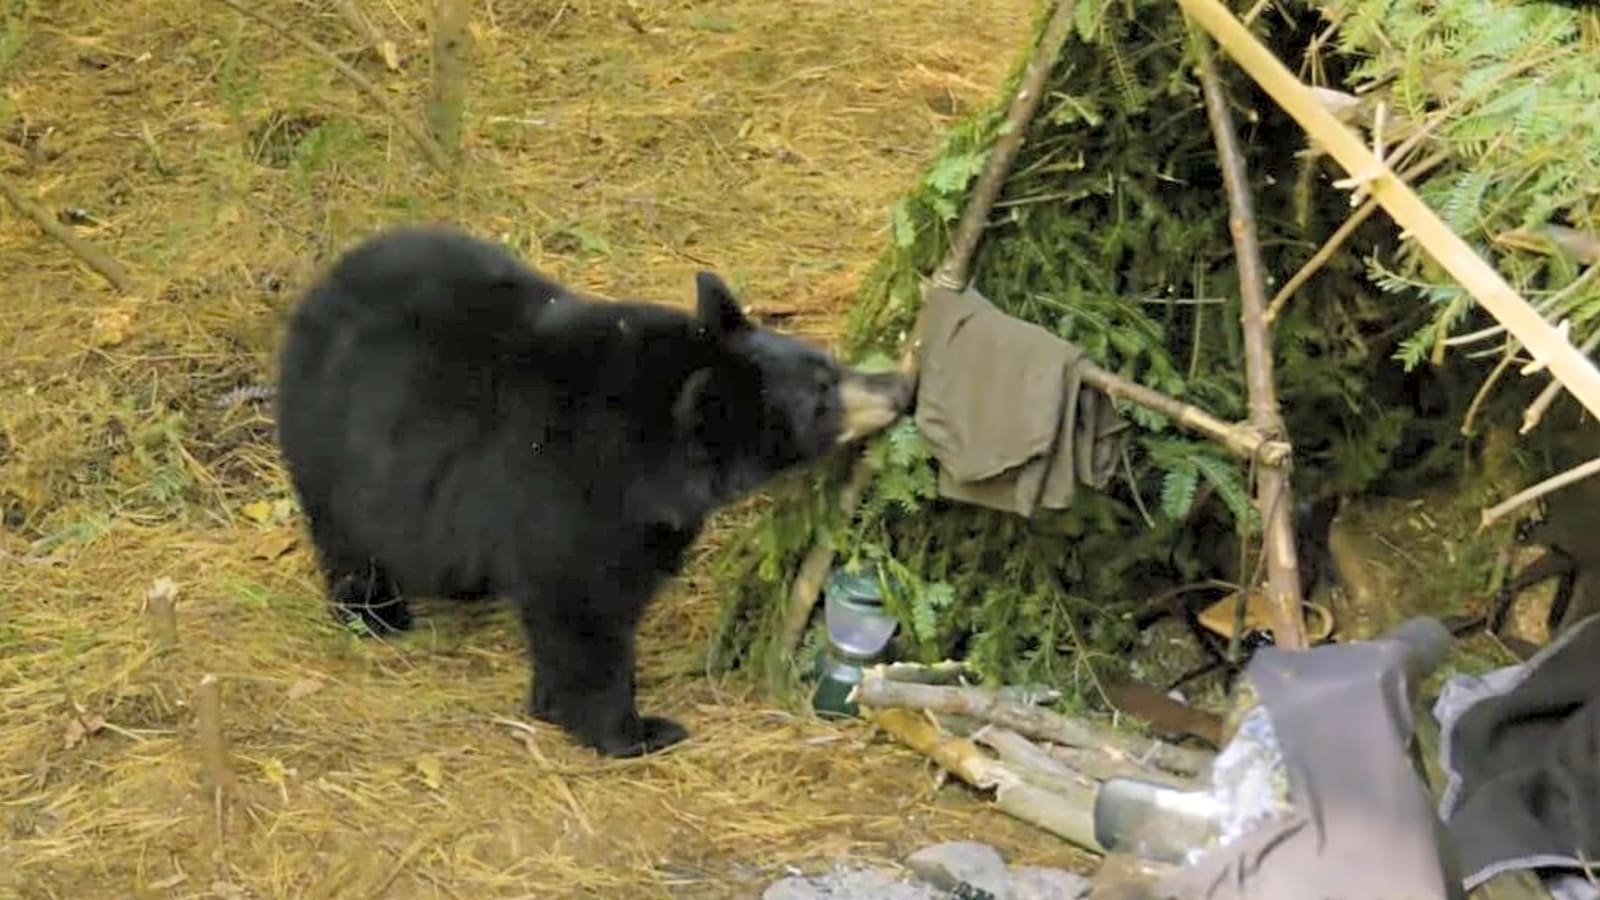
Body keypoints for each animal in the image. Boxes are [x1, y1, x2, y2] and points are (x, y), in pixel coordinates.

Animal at [274, 224, 912, 758]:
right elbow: (584, 610)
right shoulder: (569, 493)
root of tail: (325, 282)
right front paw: (631, 728)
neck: (656, 451)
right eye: (822, 398)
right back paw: (375, 613)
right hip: (338, 444)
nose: (901, 387)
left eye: (830, 364)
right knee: (347, 535)